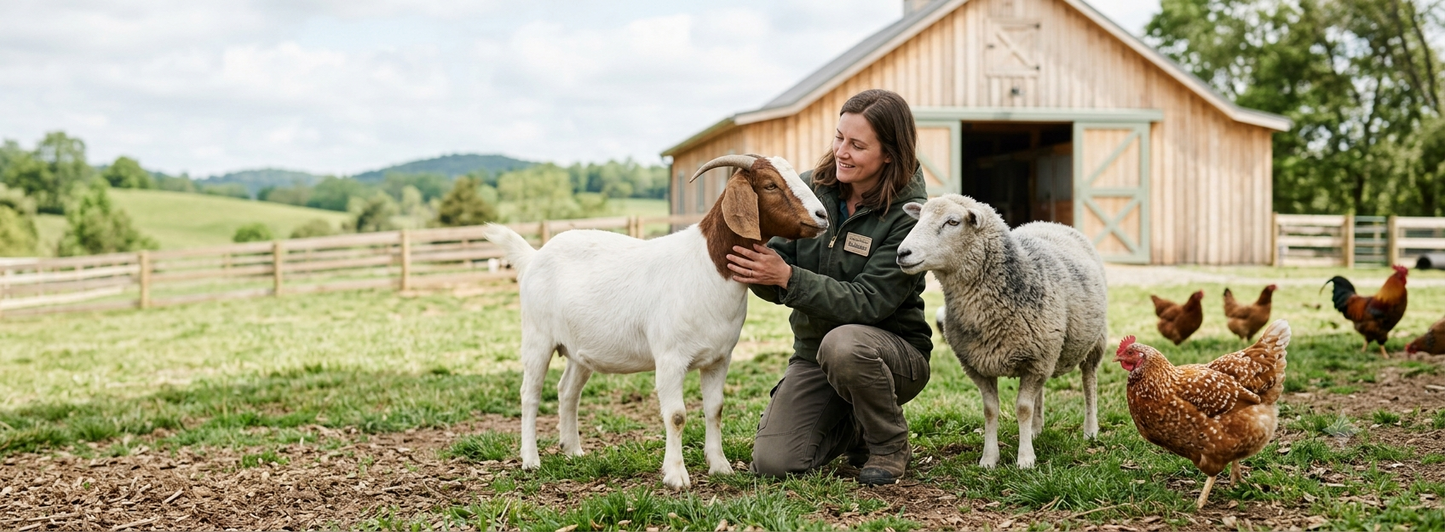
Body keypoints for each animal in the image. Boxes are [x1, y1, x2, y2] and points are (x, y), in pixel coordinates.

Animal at [482, 154, 829, 489]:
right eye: (770, 185)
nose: (822, 216)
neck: (706, 267)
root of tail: (533, 257)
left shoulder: (719, 359)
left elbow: (715, 409)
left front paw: (720, 466)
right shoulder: (670, 358)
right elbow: (676, 416)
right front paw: (676, 476)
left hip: (579, 351)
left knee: (567, 391)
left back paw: (573, 451)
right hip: (537, 338)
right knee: (530, 394)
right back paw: (531, 460)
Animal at [896, 194, 1108, 469]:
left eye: (952, 222)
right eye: (919, 218)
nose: (902, 253)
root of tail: (1051, 223)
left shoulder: (1035, 360)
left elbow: (1023, 408)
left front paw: (1025, 459)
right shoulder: (978, 365)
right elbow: (991, 410)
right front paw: (989, 458)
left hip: (1094, 342)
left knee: (1088, 381)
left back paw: (1090, 430)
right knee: (1041, 392)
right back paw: (1036, 429)